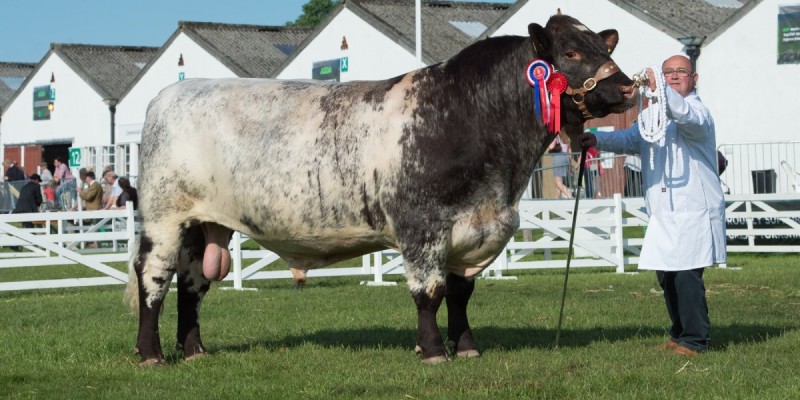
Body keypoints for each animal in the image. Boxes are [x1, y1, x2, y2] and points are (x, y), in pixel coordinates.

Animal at [125, 14, 636, 366]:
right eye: (569, 53)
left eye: (600, 45)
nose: (629, 87)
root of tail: (169, 95)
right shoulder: (422, 226)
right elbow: (429, 292)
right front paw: (433, 351)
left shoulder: (473, 229)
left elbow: (460, 294)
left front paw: (467, 347)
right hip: (164, 218)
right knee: (154, 279)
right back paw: (150, 354)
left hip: (203, 224)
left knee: (192, 284)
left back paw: (195, 350)